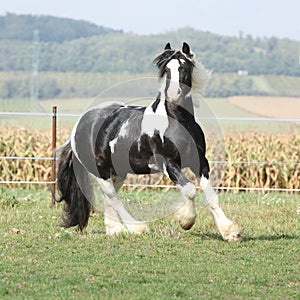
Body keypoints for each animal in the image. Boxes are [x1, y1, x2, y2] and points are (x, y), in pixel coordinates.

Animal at [56, 42, 243, 243]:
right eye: (166, 69)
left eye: (184, 67)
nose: (174, 95)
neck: (177, 120)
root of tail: (80, 124)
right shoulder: (168, 163)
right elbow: (190, 189)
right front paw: (186, 220)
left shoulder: (200, 161)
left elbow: (211, 196)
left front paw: (230, 232)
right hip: (100, 169)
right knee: (113, 197)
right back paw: (137, 228)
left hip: (117, 171)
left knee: (109, 196)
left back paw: (114, 230)